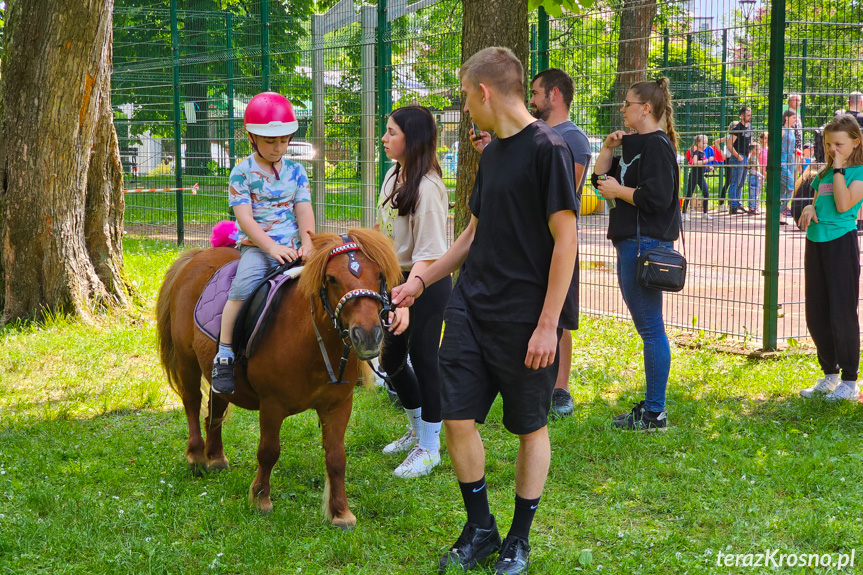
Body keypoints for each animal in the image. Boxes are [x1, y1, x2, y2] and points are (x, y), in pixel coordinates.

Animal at [155, 230, 402, 532]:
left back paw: (216, 457)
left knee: (215, 407)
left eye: (379, 274)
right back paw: (197, 457)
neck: (311, 340)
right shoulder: (271, 405)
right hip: (187, 360)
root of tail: (196, 256)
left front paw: (340, 512)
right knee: (192, 403)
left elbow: (336, 457)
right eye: (332, 278)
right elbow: (268, 451)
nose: (367, 335)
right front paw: (260, 499)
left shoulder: (339, 405)